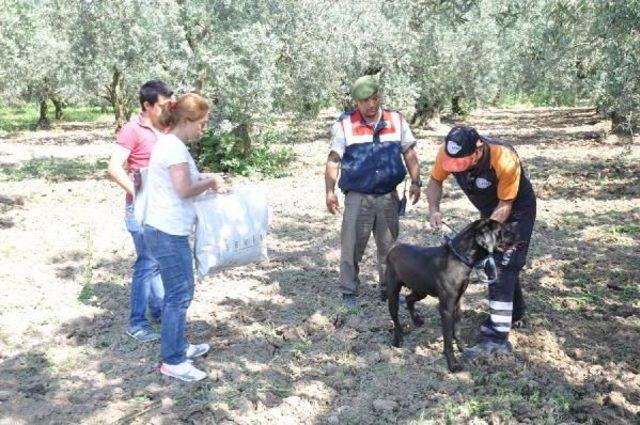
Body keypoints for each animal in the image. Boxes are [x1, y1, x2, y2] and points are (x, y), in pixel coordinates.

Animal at [384, 219, 516, 372]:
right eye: (502, 231)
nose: (518, 234)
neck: (458, 259)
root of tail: (393, 248)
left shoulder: (457, 302)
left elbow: (457, 330)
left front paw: (461, 348)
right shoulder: (446, 308)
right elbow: (447, 339)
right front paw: (452, 363)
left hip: (421, 291)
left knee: (409, 299)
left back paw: (417, 320)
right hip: (393, 294)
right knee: (395, 318)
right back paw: (397, 339)